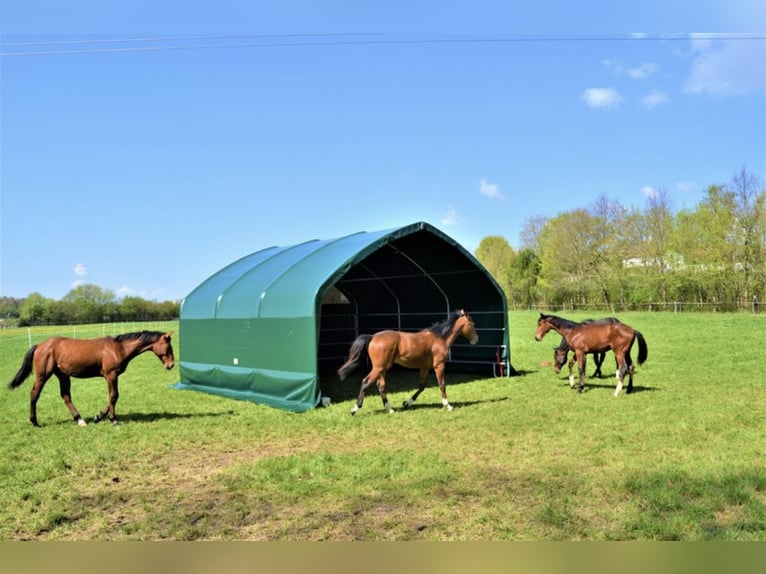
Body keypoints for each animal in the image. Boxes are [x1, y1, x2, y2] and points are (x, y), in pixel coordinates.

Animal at [7, 330, 174, 427]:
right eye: (168, 346)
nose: (171, 365)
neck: (118, 348)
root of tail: (40, 345)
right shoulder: (111, 375)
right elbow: (114, 396)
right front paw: (114, 420)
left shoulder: (112, 376)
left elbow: (112, 398)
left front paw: (98, 417)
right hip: (42, 376)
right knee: (34, 394)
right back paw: (34, 422)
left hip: (63, 375)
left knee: (66, 396)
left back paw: (79, 419)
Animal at [337, 309, 479, 415]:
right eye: (471, 324)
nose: (476, 340)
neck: (440, 338)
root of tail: (372, 337)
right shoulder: (439, 366)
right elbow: (442, 384)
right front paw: (448, 406)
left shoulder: (425, 367)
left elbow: (421, 386)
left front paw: (406, 403)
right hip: (378, 368)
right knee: (366, 382)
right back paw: (355, 409)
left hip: (382, 369)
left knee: (381, 386)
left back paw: (390, 409)